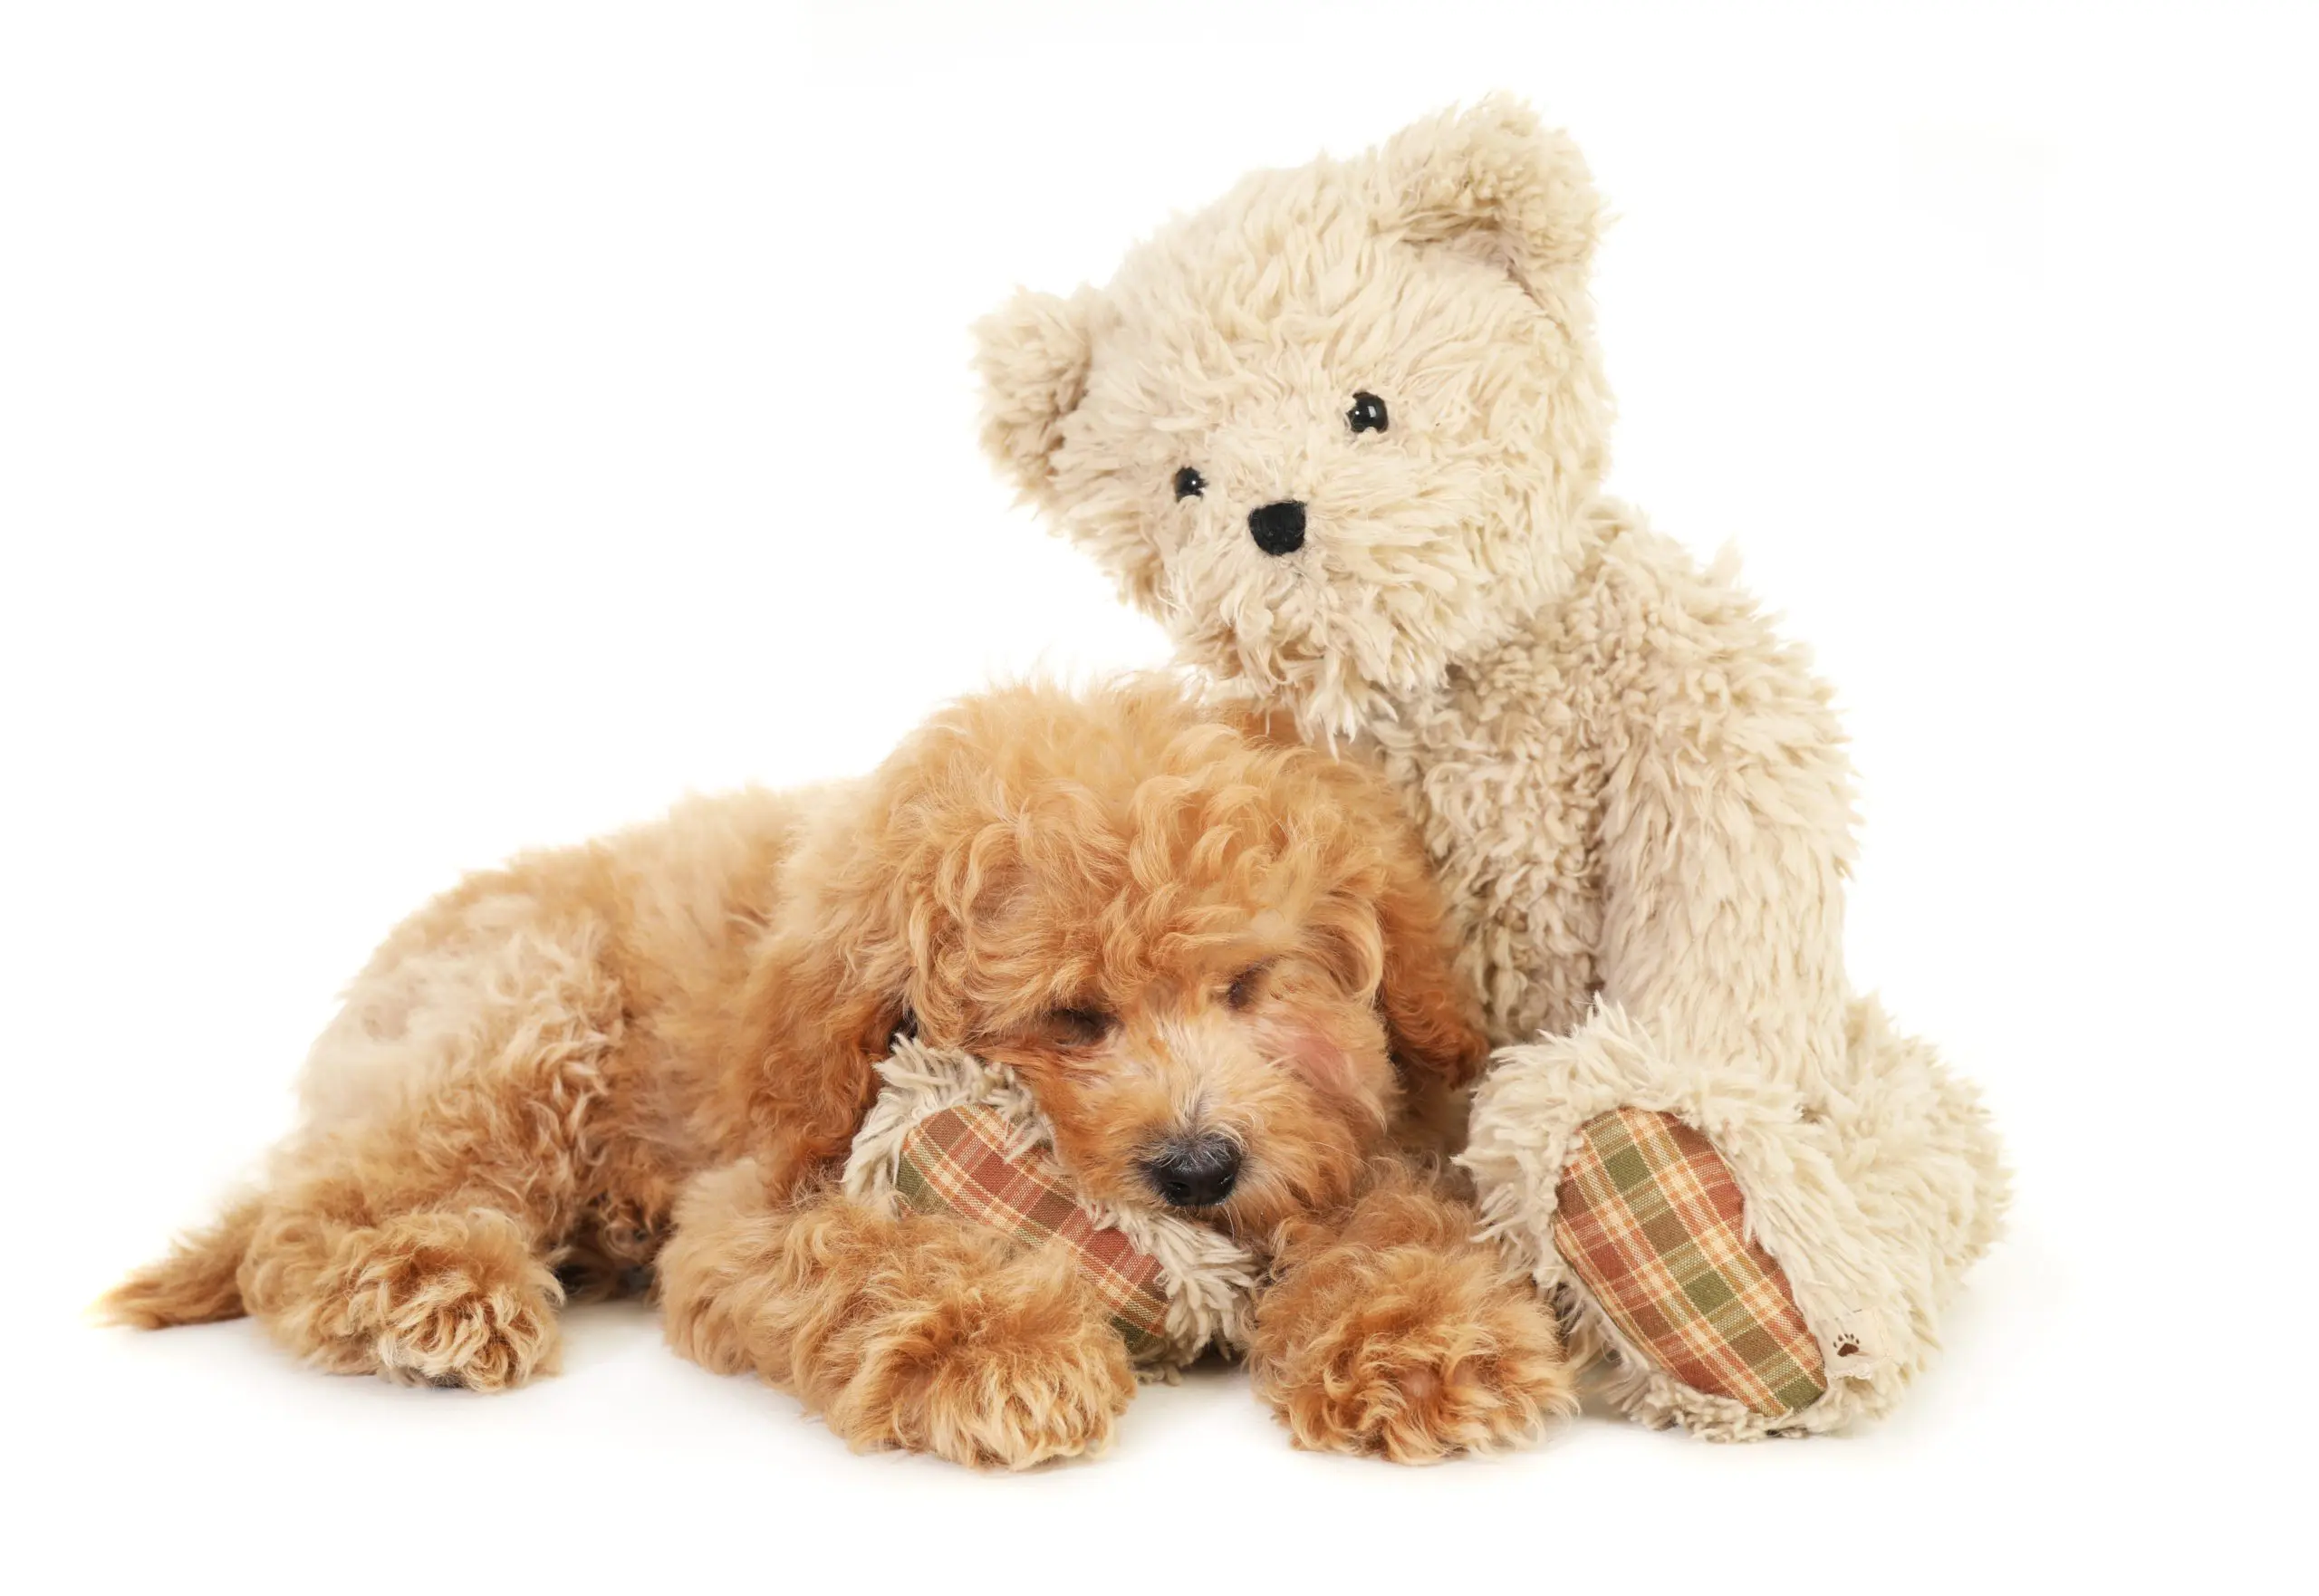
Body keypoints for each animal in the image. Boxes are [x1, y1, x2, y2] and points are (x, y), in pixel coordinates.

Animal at [100, 677, 1567, 1466]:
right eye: (1070, 1019)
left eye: (1252, 985)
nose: (1201, 1166)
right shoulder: (750, 1203)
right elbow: (867, 1258)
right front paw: (997, 1346)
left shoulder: (1363, 1133)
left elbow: (1392, 1216)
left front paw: (1421, 1338)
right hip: (528, 1011)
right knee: (317, 1215)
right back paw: (439, 1286)